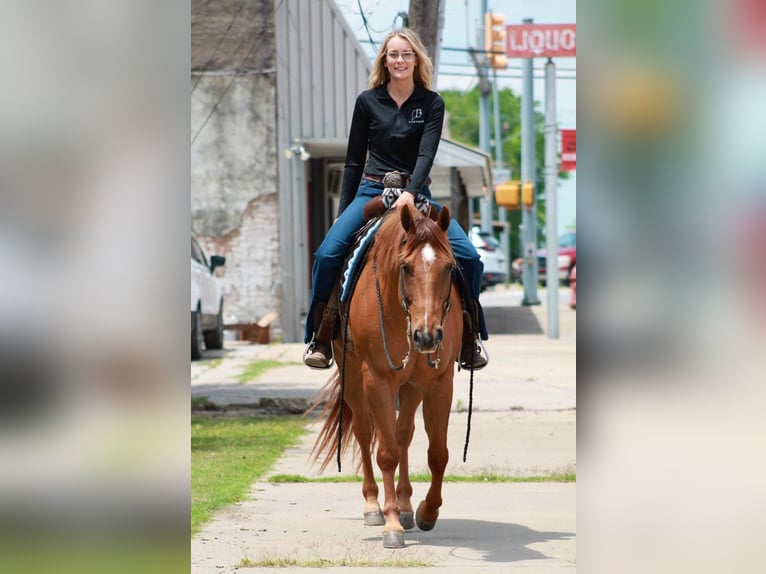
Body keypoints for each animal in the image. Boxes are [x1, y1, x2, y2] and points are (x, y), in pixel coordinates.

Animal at [308, 202, 464, 548]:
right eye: (405, 267)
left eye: (449, 267)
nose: (427, 336)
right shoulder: (376, 378)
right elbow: (387, 453)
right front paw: (391, 523)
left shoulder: (439, 382)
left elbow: (437, 453)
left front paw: (426, 512)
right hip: (354, 378)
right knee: (367, 434)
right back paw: (373, 507)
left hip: (410, 386)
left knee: (403, 432)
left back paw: (406, 506)